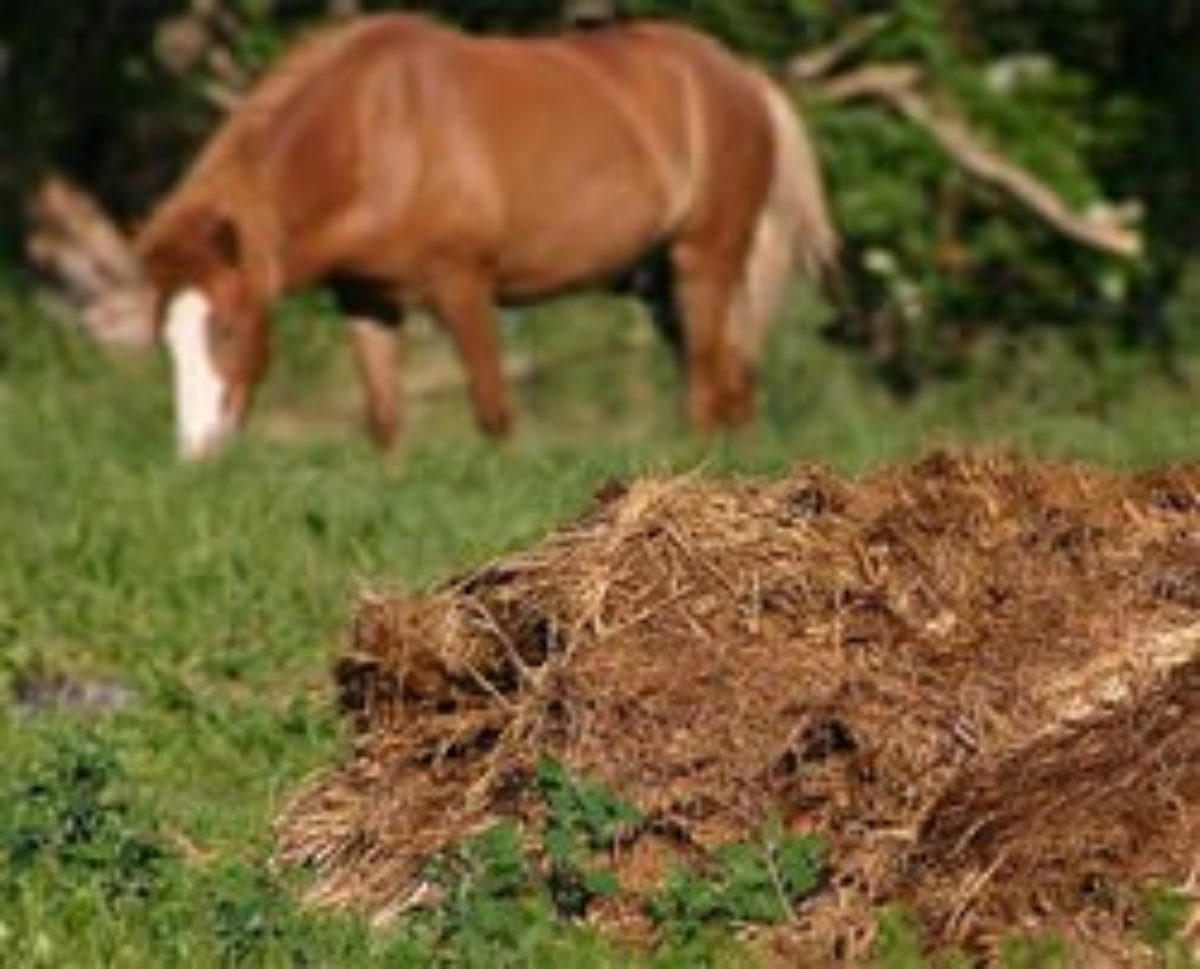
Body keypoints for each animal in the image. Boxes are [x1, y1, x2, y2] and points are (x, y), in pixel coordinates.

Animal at [138, 14, 835, 462]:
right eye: (165, 337)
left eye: (227, 328)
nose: (196, 450)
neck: (379, 132)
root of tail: (743, 77)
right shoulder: (366, 301)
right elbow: (385, 420)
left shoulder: (464, 287)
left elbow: (493, 412)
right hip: (661, 285)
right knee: (732, 383)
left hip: (705, 260)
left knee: (706, 388)